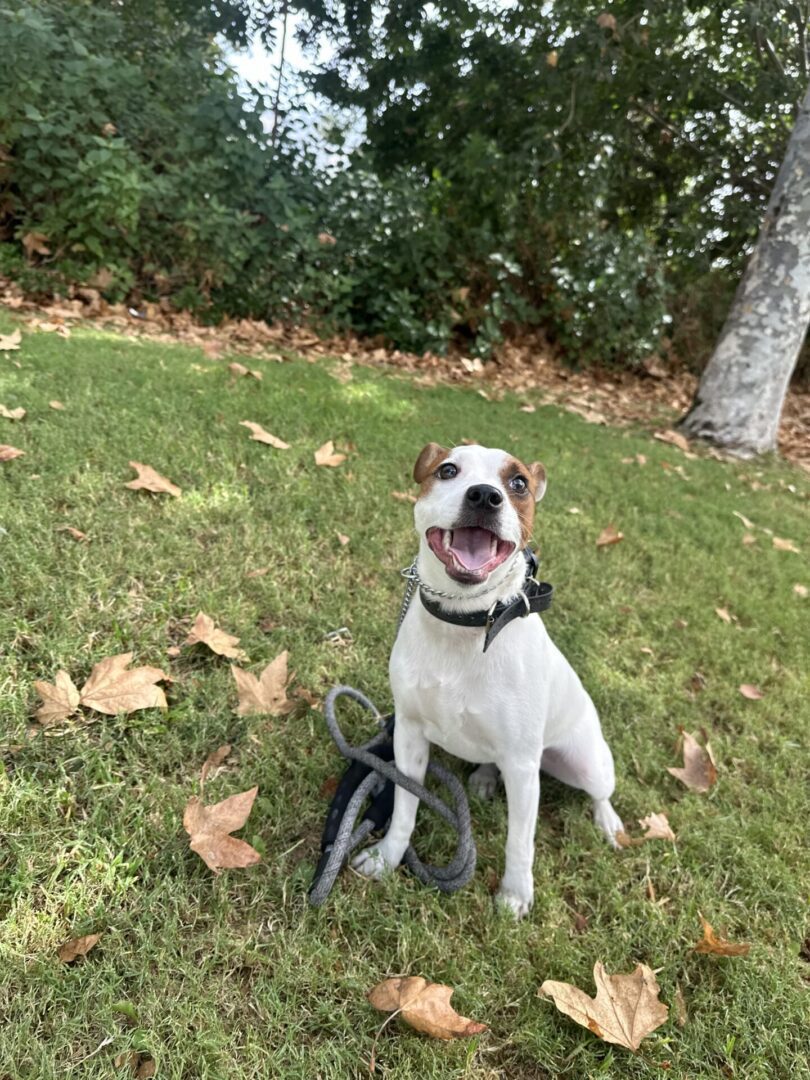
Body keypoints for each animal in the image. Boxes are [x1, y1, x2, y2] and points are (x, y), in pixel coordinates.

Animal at [352, 442, 623, 917]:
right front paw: (387, 857)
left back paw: (607, 820)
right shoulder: (408, 736)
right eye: (447, 470)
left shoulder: (523, 767)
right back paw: (482, 776)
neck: (466, 622)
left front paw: (514, 894)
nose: (484, 496)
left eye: (518, 483)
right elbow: (404, 807)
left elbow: (520, 842)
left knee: (601, 790)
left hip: (586, 762)